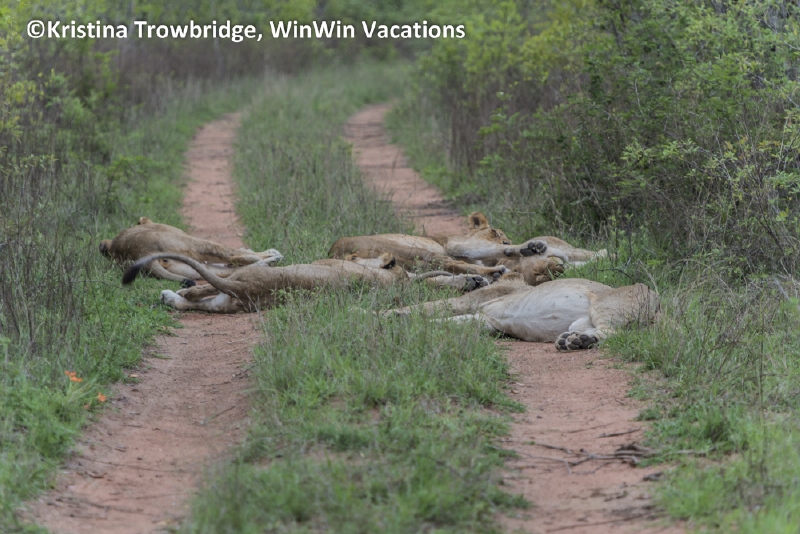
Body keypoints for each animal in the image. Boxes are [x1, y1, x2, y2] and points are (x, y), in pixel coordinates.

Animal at [100, 217, 283, 285]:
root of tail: (140, 253)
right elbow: (236, 255)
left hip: (187, 265)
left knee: (226, 271)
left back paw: (269, 263)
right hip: (193, 244)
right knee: (233, 256)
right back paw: (273, 256)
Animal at [382, 274, 658, 351]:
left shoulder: (475, 302)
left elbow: (428, 307)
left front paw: (381, 315)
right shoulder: (485, 320)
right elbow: (443, 321)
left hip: (605, 304)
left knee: (616, 333)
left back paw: (580, 341)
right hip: (580, 320)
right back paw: (572, 341)